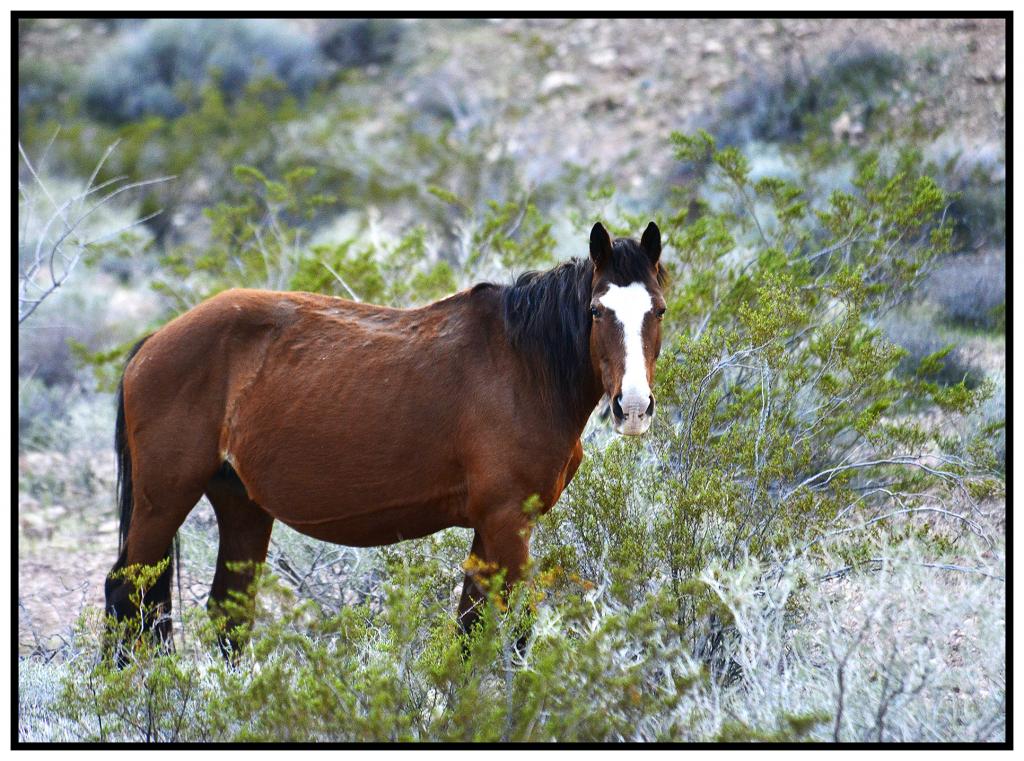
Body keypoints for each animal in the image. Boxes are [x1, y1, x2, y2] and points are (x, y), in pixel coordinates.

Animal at [104, 221, 667, 658]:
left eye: (657, 310)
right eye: (596, 311)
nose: (634, 407)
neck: (524, 367)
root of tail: (152, 344)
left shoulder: (489, 529)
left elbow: (469, 629)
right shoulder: (509, 523)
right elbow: (518, 631)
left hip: (241, 505)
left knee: (228, 612)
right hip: (163, 502)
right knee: (124, 594)